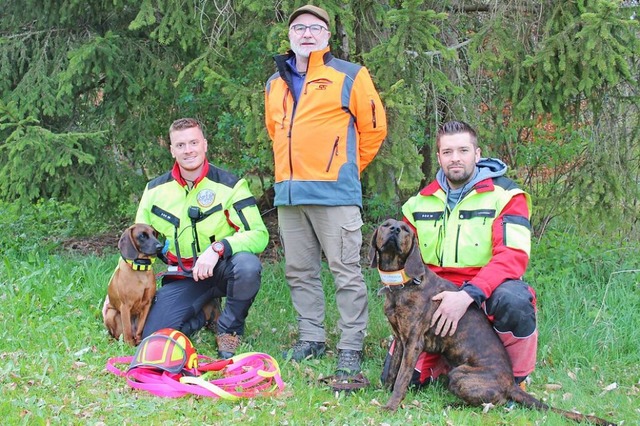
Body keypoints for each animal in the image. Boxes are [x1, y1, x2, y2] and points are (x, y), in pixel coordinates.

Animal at [370, 220, 616, 426]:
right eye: (386, 225)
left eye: (405, 229)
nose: (395, 230)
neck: (402, 283)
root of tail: (510, 383)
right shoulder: (400, 339)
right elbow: (392, 372)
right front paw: (381, 392)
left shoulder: (414, 343)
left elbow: (402, 378)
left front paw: (391, 406)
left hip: (459, 375)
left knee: (494, 402)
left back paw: (454, 404)